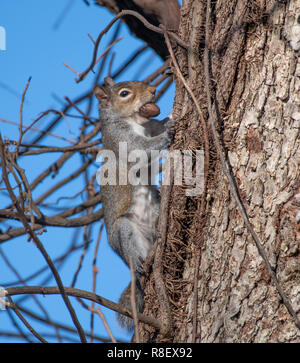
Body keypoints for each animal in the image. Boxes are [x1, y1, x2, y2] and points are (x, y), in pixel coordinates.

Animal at [94, 77, 173, 332]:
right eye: (124, 93)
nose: (153, 90)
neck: (135, 121)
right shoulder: (122, 140)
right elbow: (141, 150)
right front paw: (169, 129)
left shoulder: (150, 126)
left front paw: (168, 118)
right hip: (124, 232)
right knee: (134, 259)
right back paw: (138, 264)